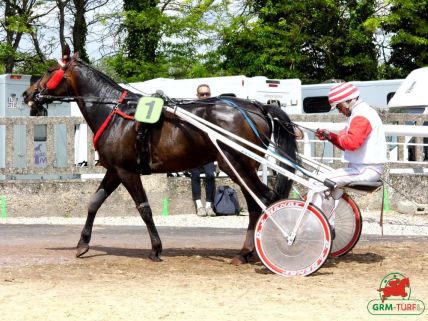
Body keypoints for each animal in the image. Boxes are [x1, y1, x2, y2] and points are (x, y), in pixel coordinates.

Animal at [22, 51, 298, 264]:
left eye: (49, 70)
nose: (27, 93)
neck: (116, 113)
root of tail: (257, 107)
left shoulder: (127, 172)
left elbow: (144, 208)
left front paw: (156, 248)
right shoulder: (114, 170)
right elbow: (94, 203)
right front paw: (82, 243)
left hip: (236, 165)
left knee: (261, 200)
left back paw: (250, 251)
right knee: (257, 202)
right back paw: (248, 251)